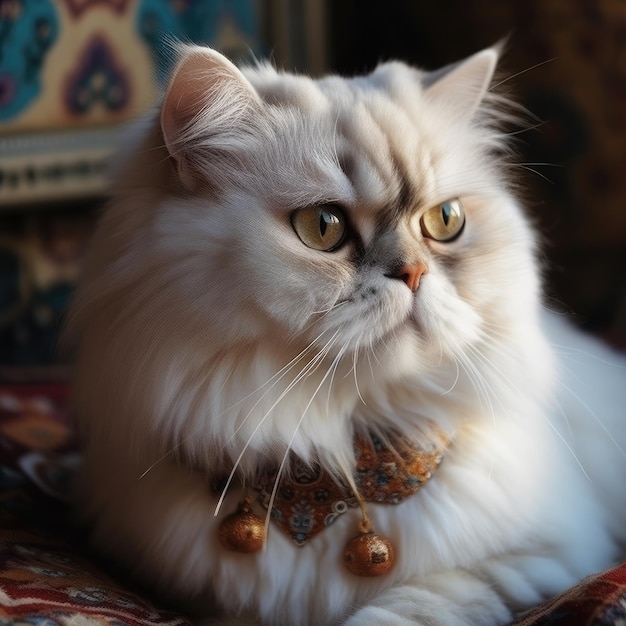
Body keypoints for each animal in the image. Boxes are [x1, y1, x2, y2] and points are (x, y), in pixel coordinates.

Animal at [67, 45, 624, 624]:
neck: (338, 455)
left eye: (445, 221)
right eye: (323, 227)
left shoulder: (537, 561)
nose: (414, 274)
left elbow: (411, 605)